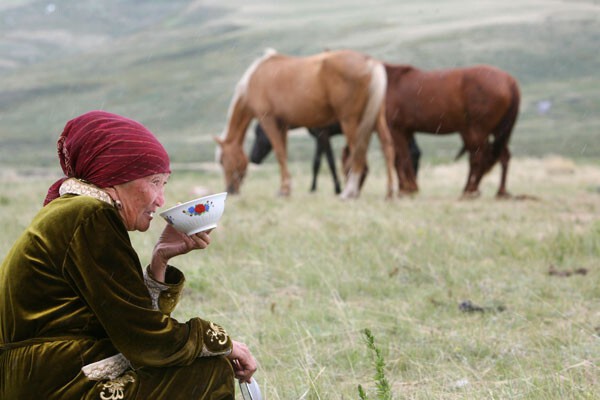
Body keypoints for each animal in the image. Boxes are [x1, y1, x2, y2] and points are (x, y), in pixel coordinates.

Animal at [213, 49, 406, 199]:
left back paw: (349, 192)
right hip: (377, 119)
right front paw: (285, 189)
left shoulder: (268, 120)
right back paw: (390, 192)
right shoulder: (283, 125)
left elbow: (280, 153)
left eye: (222, 161)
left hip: (350, 121)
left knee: (358, 153)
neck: (256, 78)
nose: (230, 190)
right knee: (387, 148)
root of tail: (370, 62)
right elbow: (284, 153)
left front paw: (284, 190)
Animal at [251, 122, 424, 195]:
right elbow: (319, 162)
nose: (253, 157)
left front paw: (334, 188)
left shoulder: (323, 135)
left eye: (259, 133)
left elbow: (326, 162)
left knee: (411, 152)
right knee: (413, 152)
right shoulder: (320, 138)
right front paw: (315, 187)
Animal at [384, 63, 520, 198]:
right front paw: (406, 188)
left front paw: (406, 189)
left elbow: (401, 158)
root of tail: (510, 81)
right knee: (502, 156)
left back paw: (470, 190)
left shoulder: (396, 129)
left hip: (477, 131)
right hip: (497, 132)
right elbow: (403, 157)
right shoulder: (406, 131)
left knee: (479, 157)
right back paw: (499, 191)